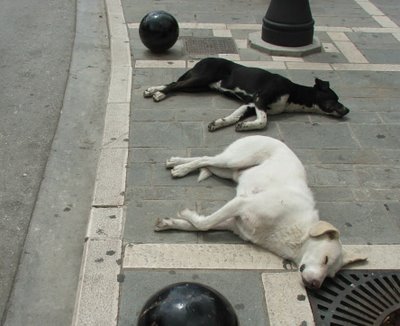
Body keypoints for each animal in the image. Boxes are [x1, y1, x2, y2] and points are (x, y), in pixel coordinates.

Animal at [144, 57, 350, 131]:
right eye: (335, 98)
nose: (347, 110)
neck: (293, 93)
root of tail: (201, 60)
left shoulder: (251, 104)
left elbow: (234, 117)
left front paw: (219, 123)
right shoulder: (260, 99)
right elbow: (263, 121)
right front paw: (246, 126)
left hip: (199, 86)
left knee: (175, 84)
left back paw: (153, 90)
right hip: (201, 78)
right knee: (174, 84)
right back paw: (158, 94)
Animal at [155, 135, 368, 288]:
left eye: (330, 276)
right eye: (325, 259)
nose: (315, 285)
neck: (295, 232)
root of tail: (272, 137)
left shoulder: (234, 224)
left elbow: (200, 225)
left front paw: (170, 223)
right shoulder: (242, 202)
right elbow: (204, 223)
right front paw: (186, 214)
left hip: (227, 171)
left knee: (207, 162)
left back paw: (178, 165)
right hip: (234, 160)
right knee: (206, 158)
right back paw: (179, 166)